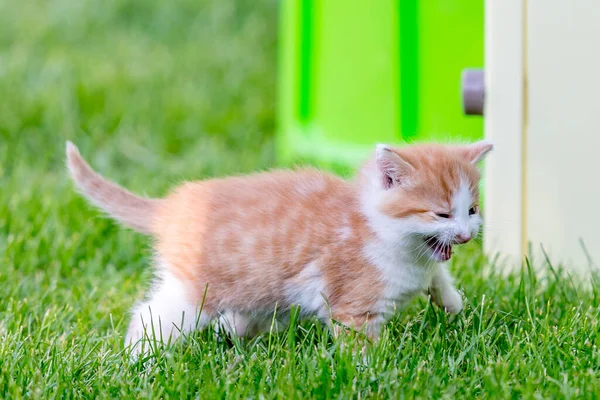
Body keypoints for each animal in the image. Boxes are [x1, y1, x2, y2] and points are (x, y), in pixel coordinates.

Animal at [65, 140, 492, 354]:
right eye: (441, 214)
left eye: (471, 210)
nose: (465, 235)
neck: (375, 227)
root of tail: (172, 208)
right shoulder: (352, 307)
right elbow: (360, 348)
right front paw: (372, 374)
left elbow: (437, 272)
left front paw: (450, 301)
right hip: (194, 292)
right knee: (150, 316)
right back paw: (141, 361)